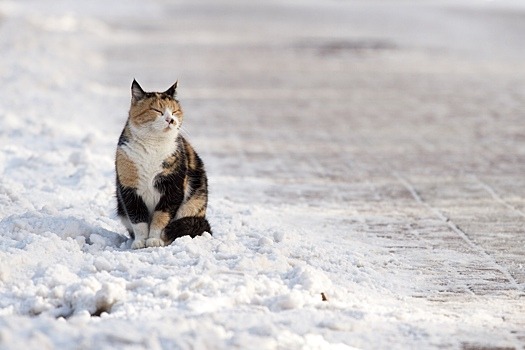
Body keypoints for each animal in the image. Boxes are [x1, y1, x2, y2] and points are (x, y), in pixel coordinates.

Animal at [115, 79, 211, 249]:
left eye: (175, 111)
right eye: (156, 110)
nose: (170, 119)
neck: (153, 146)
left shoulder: (173, 186)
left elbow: (161, 217)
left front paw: (154, 240)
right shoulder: (129, 188)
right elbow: (138, 219)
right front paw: (140, 242)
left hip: (194, 203)